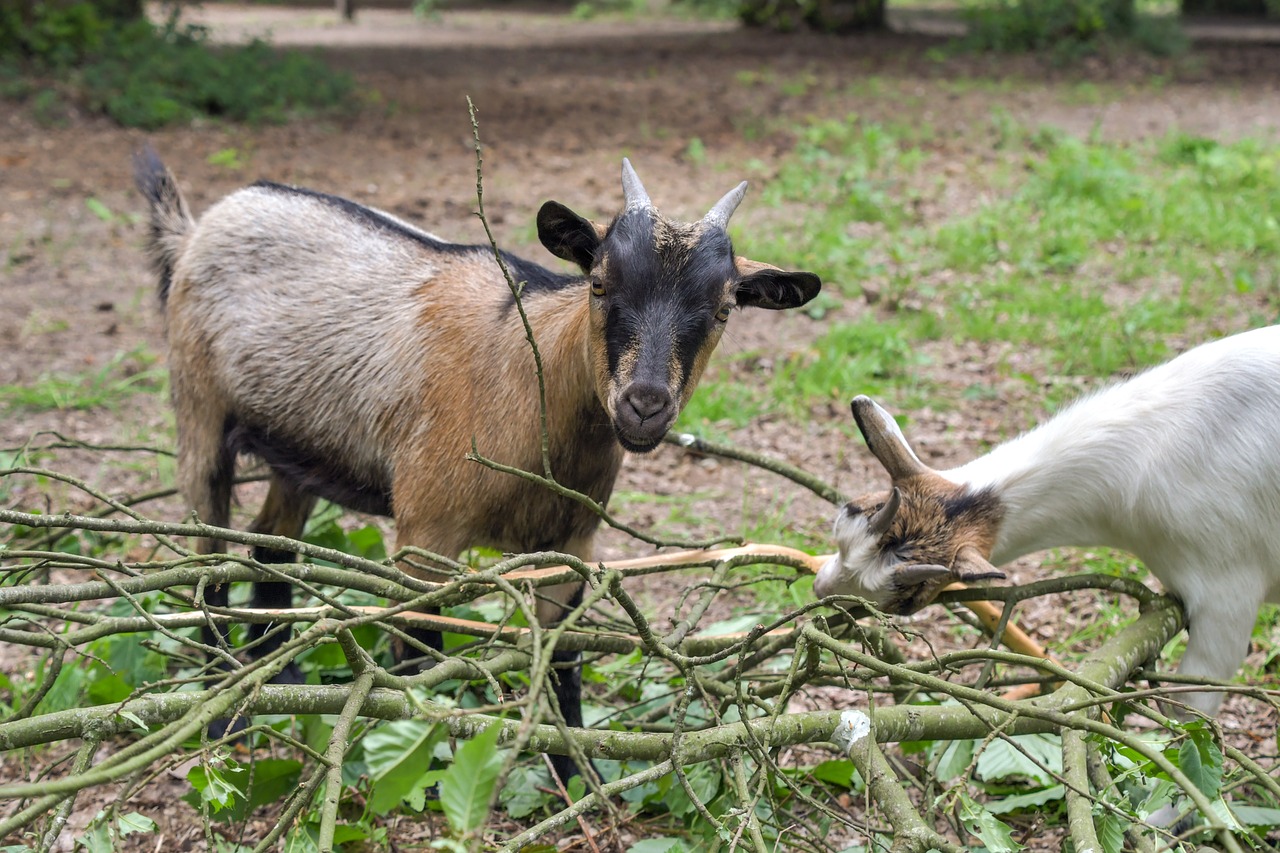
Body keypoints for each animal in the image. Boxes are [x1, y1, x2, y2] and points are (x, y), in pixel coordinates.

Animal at [137, 147, 819, 778]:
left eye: (725, 308)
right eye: (599, 283)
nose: (645, 405)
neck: (529, 373)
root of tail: (197, 228)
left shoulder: (572, 548)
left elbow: (562, 662)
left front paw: (577, 774)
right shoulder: (425, 530)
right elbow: (420, 653)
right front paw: (419, 758)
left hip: (298, 450)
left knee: (270, 545)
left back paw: (279, 680)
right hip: (197, 409)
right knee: (207, 560)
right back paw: (221, 713)